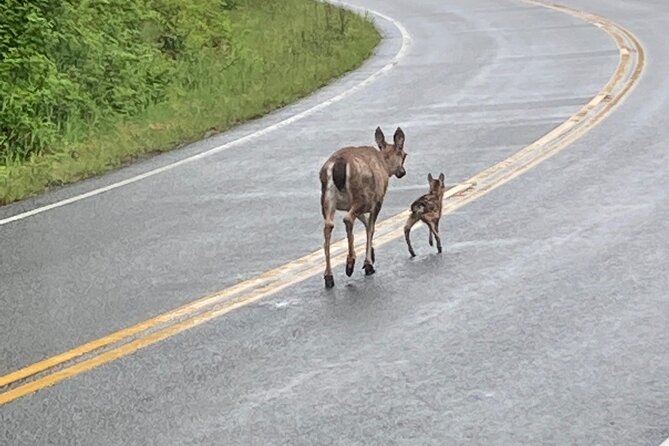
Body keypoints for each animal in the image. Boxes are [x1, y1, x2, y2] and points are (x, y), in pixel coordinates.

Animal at [318, 124, 408, 290]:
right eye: (404, 155)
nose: (402, 172)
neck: (384, 164)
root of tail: (339, 165)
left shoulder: (350, 205)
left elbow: (366, 224)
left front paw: (372, 253)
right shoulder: (377, 201)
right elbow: (371, 227)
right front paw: (368, 263)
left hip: (327, 198)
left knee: (329, 225)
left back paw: (328, 277)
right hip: (361, 195)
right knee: (347, 219)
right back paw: (350, 264)